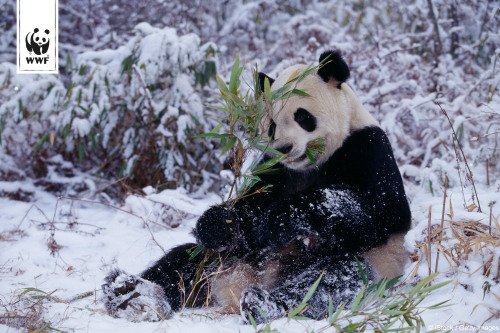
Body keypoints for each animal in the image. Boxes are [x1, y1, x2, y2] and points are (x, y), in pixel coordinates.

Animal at [101, 50, 410, 322]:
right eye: (271, 125)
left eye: (303, 117)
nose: (284, 148)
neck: (310, 165)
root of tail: (234, 287)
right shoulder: (273, 169)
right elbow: (247, 210)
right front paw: (218, 223)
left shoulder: (368, 149)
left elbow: (376, 212)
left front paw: (283, 219)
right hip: (225, 260)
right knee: (183, 263)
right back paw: (129, 293)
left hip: (368, 263)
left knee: (333, 280)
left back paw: (263, 305)